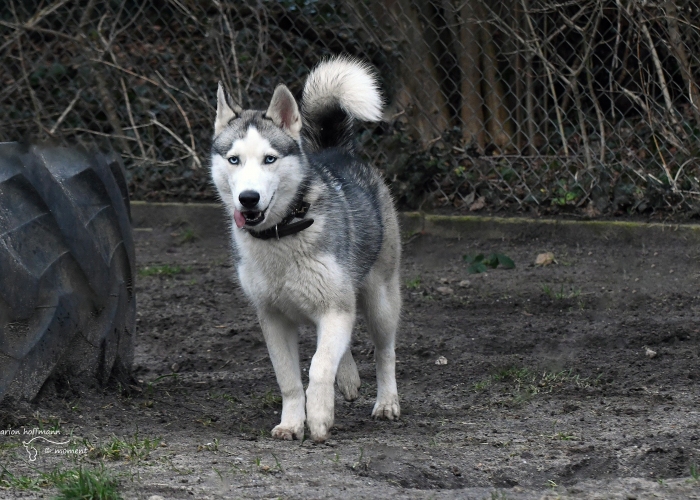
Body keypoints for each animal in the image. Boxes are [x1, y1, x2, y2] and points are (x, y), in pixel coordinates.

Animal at [211, 56, 402, 444]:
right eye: (234, 159)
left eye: (269, 159)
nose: (248, 198)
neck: (280, 235)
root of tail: (336, 150)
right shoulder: (273, 318)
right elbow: (290, 379)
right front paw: (291, 423)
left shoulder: (335, 309)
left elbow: (318, 367)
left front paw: (319, 417)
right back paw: (348, 378)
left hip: (380, 298)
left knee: (384, 350)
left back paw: (387, 402)